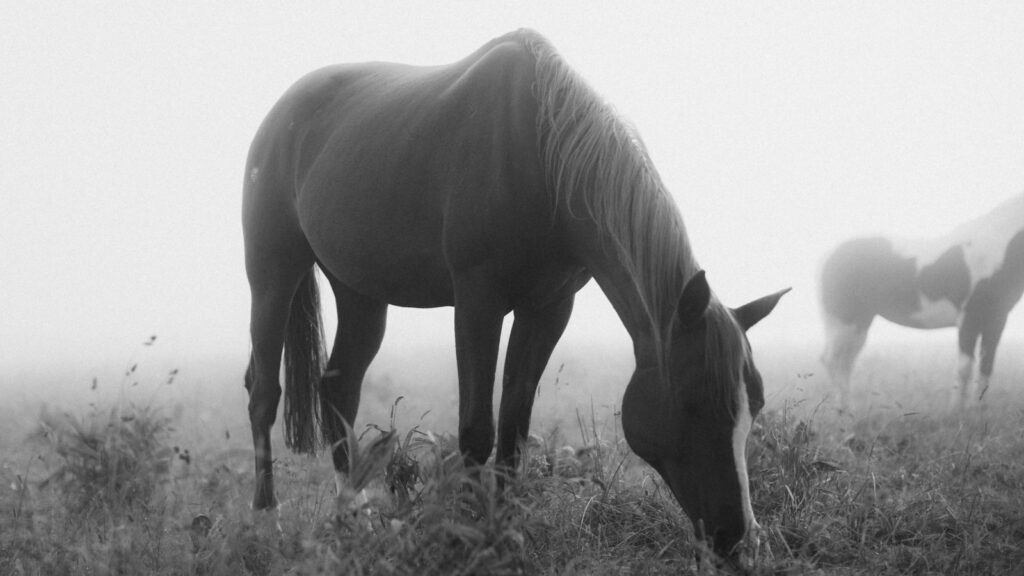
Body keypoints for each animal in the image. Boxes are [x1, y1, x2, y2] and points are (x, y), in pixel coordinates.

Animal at [242, 28, 787, 562]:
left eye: (756, 404)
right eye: (695, 401)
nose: (741, 540)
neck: (543, 160)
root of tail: (282, 111)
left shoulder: (547, 309)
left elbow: (514, 433)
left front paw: (503, 533)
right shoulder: (477, 302)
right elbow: (475, 431)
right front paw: (465, 535)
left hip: (360, 292)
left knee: (339, 387)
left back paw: (352, 518)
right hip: (273, 270)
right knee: (264, 391)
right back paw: (267, 523)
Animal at [820, 193, 1024, 412]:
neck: (997, 247)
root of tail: (829, 257)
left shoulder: (996, 320)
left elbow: (986, 366)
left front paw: (979, 410)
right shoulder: (969, 318)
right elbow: (964, 367)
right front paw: (956, 411)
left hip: (860, 322)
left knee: (846, 362)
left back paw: (849, 410)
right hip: (843, 321)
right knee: (832, 360)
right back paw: (843, 410)